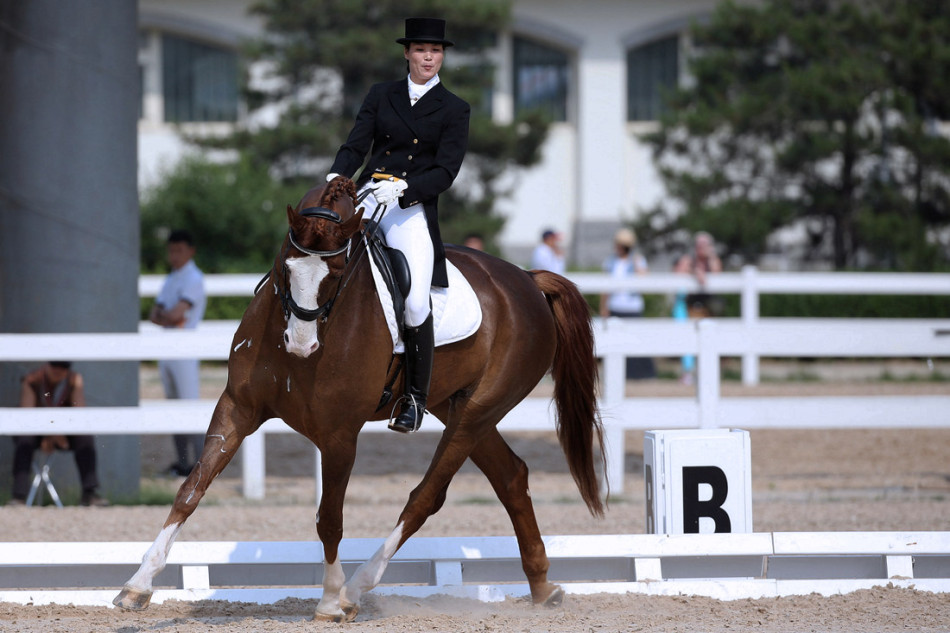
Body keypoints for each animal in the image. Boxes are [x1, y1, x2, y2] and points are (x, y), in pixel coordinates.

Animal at [111, 178, 604, 624]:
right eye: (285, 266)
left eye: (335, 275)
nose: (301, 345)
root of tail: (525, 279)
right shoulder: (238, 408)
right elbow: (191, 489)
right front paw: (136, 586)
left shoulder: (339, 434)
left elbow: (330, 518)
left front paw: (330, 601)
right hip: (456, 406)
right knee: (510, 476)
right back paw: (543, 587)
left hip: (479, 411)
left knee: (426, 497)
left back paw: (354, 590)